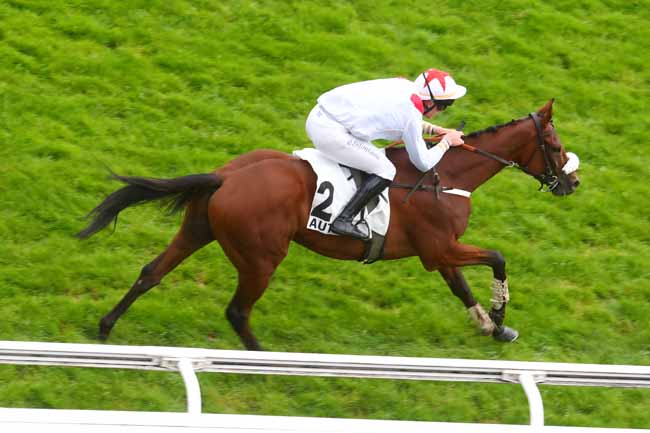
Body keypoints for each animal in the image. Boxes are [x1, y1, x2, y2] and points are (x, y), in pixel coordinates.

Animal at [78, 99, 580, 350]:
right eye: (555, 146)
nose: (571, 182)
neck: (447, 176)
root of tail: (227, 176)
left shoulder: (437, 251)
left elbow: (461, 287)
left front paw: (491, 327)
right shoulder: (440, 247)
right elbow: (498, 258)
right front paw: (499, 316)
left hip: (197, 230)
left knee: (151, 273)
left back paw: (105, 328)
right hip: (261, 256)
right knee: (237, 311)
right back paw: (264, 360)